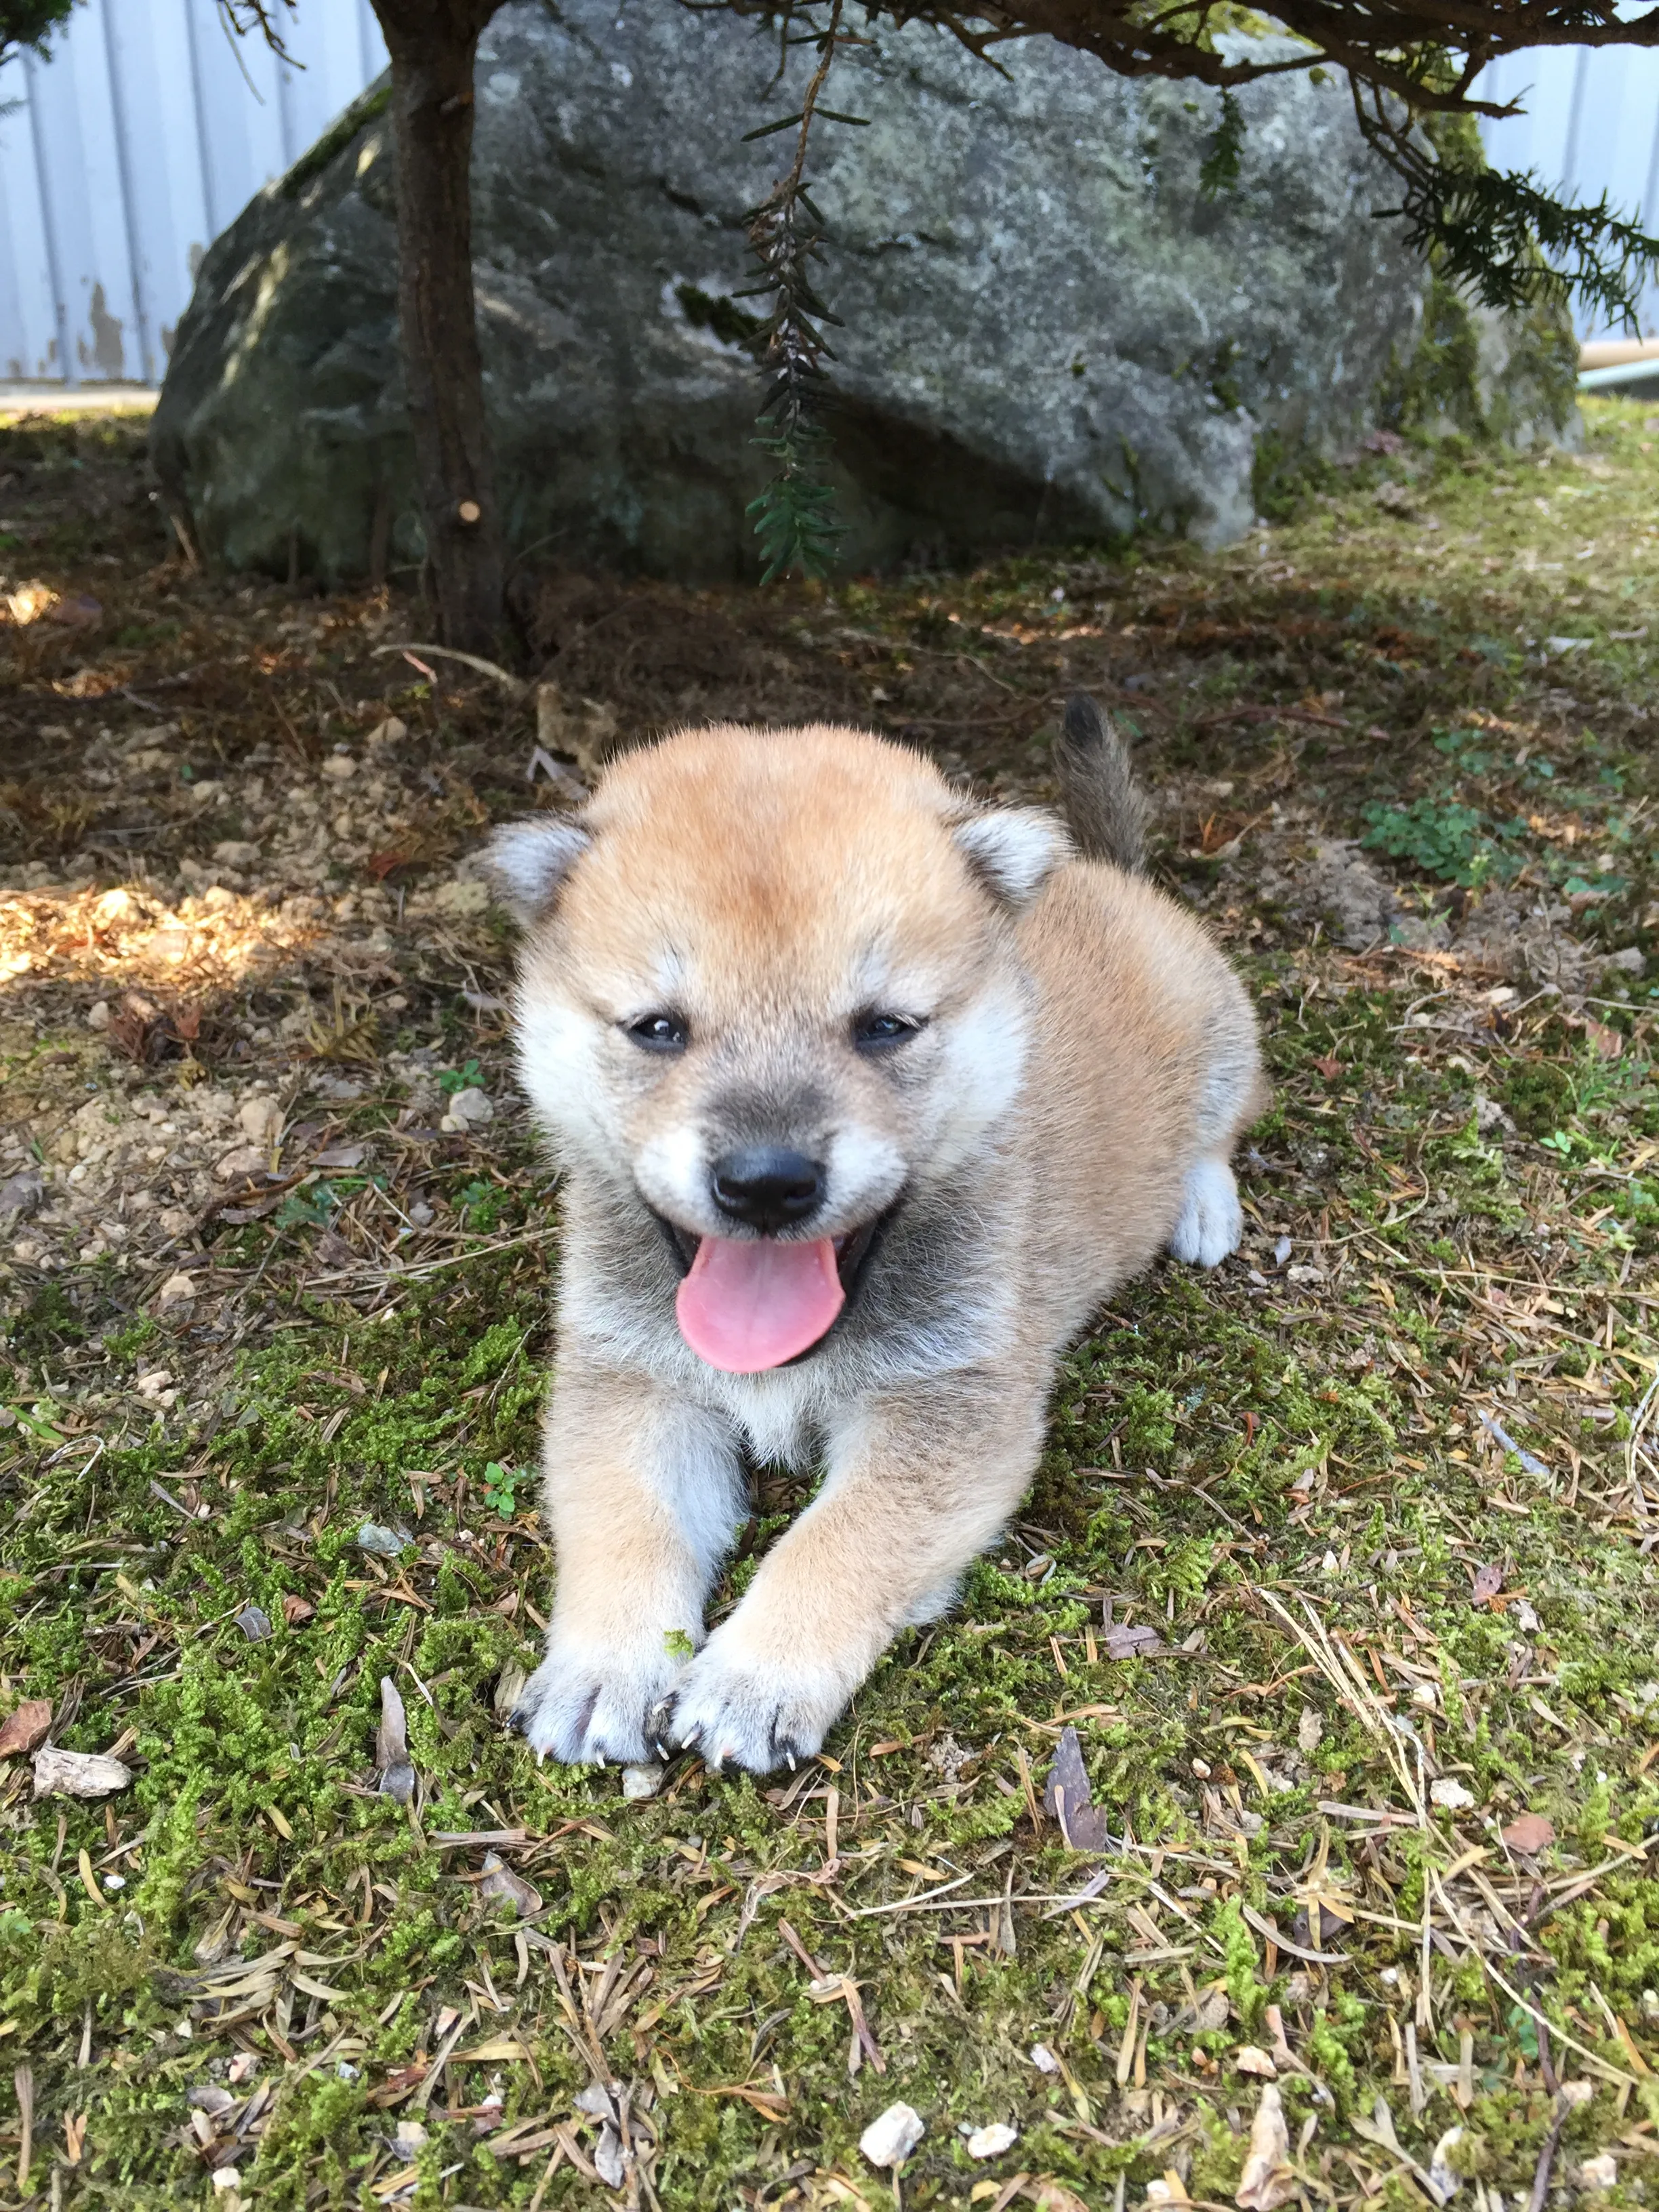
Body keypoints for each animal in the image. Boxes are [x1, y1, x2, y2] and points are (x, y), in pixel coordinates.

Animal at [487, 699, 1265, 1769]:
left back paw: (1200, 1205)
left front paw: (756, 1678)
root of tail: (1113, 878)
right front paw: (606, 1665)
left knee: (1220, 1131)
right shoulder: (634, 1385)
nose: (765, 1185)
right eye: (656, 1028)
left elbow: (839, 1541)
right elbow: (625, 1520)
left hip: (1227, 1037)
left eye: (886, 1026)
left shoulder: (947, 1410)